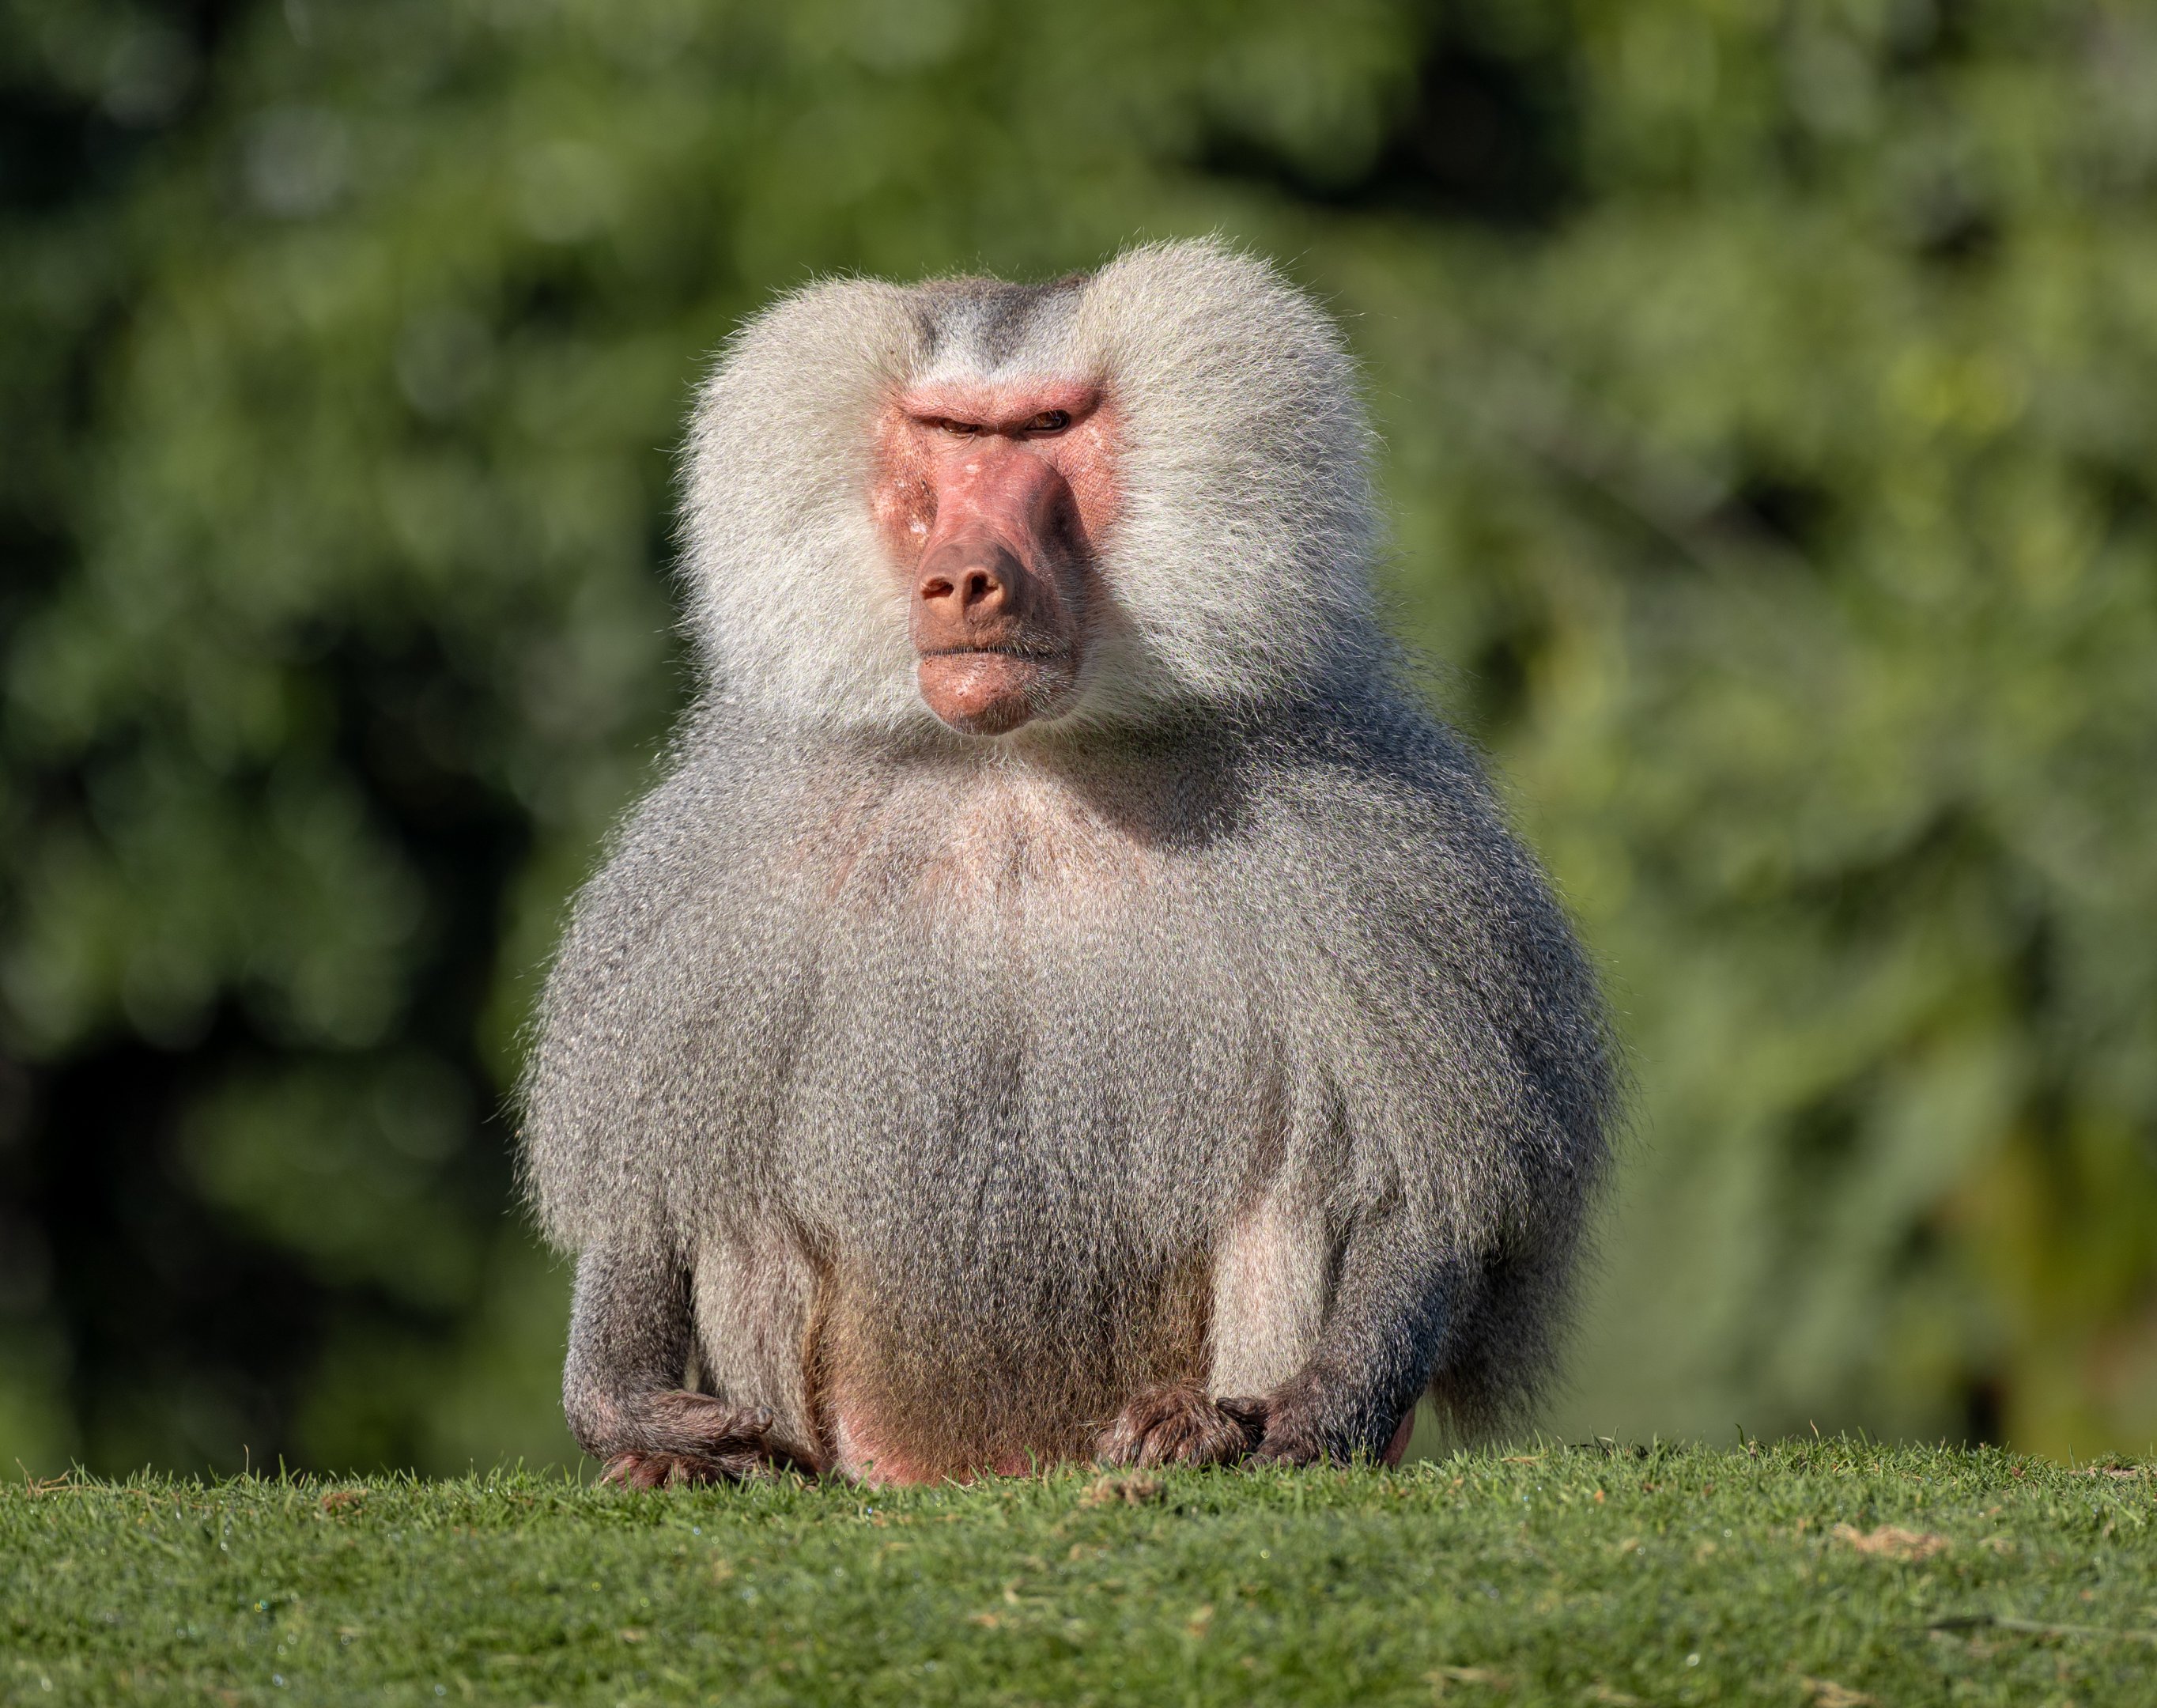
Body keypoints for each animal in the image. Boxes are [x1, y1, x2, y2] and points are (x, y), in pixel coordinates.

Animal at [519, 238, 1615, 1488]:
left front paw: (1325, 1403)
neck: (1023, 766)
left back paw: (1195, 1430)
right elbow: (654, 1181)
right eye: (949, 432)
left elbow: (1427, 1185)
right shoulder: (733, 866)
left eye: (1046, 429)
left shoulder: (1370, 848)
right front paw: (628, 1410)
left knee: (1295, 1189)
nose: (963, 578)